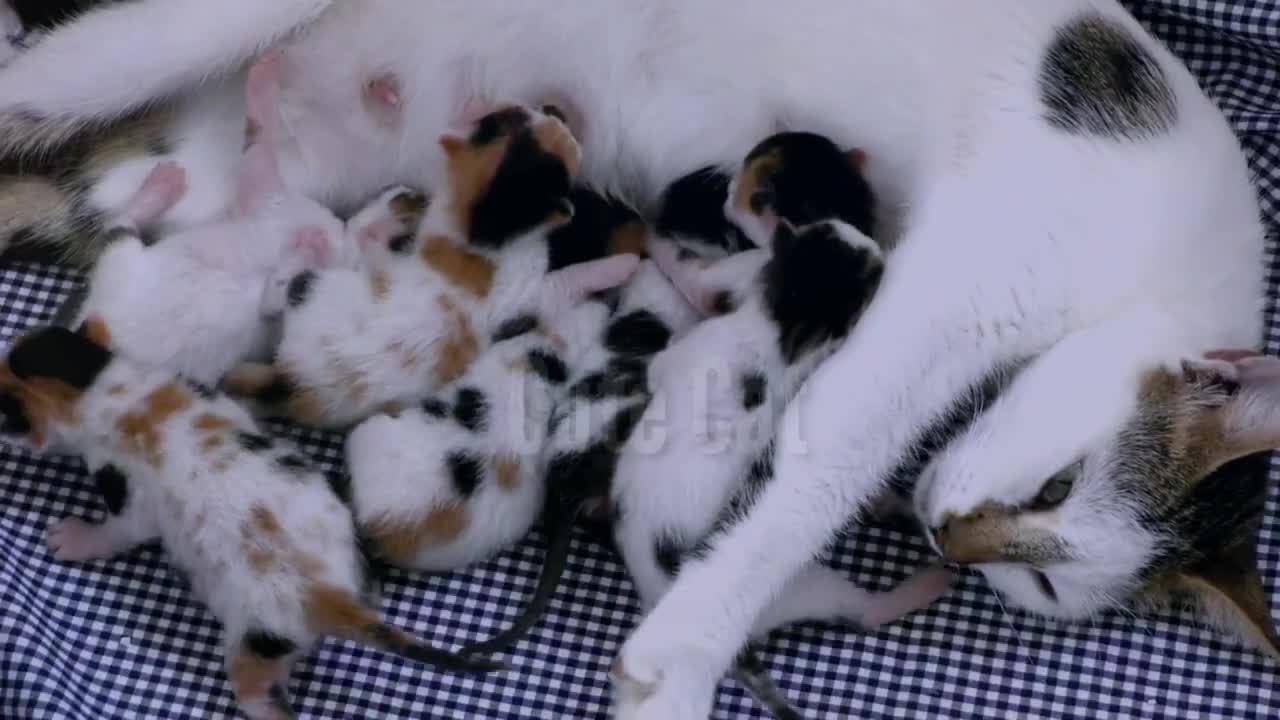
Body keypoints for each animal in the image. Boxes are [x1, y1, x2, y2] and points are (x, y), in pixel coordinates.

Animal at [0, 317, 499, 717]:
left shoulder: (123, 485)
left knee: (258, 689)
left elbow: (121, 530)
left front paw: (73, 538)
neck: (113, 393)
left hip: (256, 637)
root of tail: (330, 596)